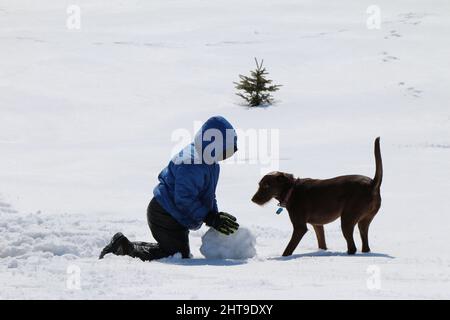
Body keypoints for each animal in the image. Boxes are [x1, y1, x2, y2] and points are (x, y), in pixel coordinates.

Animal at [251, 137, 382, 255]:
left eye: (266, 186)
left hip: (347, 219)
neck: (291, 190)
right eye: (259, 185)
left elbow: (288, 250)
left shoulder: (300, 227)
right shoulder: (318, 225)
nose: (253, 200)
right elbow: (322, 242)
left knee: (352, 247)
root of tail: (372, 184)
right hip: (364, 220)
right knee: (365, 243)